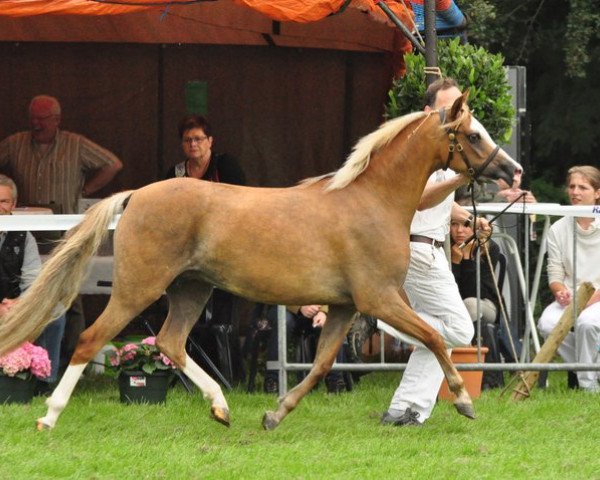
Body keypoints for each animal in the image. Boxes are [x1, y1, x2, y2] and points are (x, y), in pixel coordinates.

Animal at [0, 92, 516, 430]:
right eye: (473, 134)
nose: (512, 170)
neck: (371, 200)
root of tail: (136, 195)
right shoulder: (381, 300)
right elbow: (434, 337)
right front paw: (464, 402)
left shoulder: (345, 307)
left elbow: (323, 365)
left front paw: (275, 413)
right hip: (137, 290)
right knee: (90, 340)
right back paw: (49, 417)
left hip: (192, 289)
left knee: (169, 342)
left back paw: (221, 408)